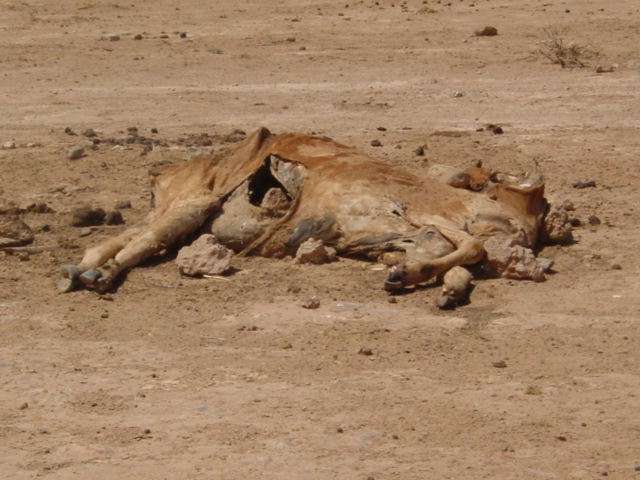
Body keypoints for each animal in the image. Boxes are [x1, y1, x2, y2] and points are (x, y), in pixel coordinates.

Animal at [60, 125, 568, 302]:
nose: (536, 226)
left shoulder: (417, 238)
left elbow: (459, 263)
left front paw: (416, 279)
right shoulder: (428, 217)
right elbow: (472, 245)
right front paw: (412, 275)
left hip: (184, 210)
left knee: (118, 240)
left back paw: (81, 272)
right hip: (194, 203)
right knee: (142, 241)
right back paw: (98, 277)